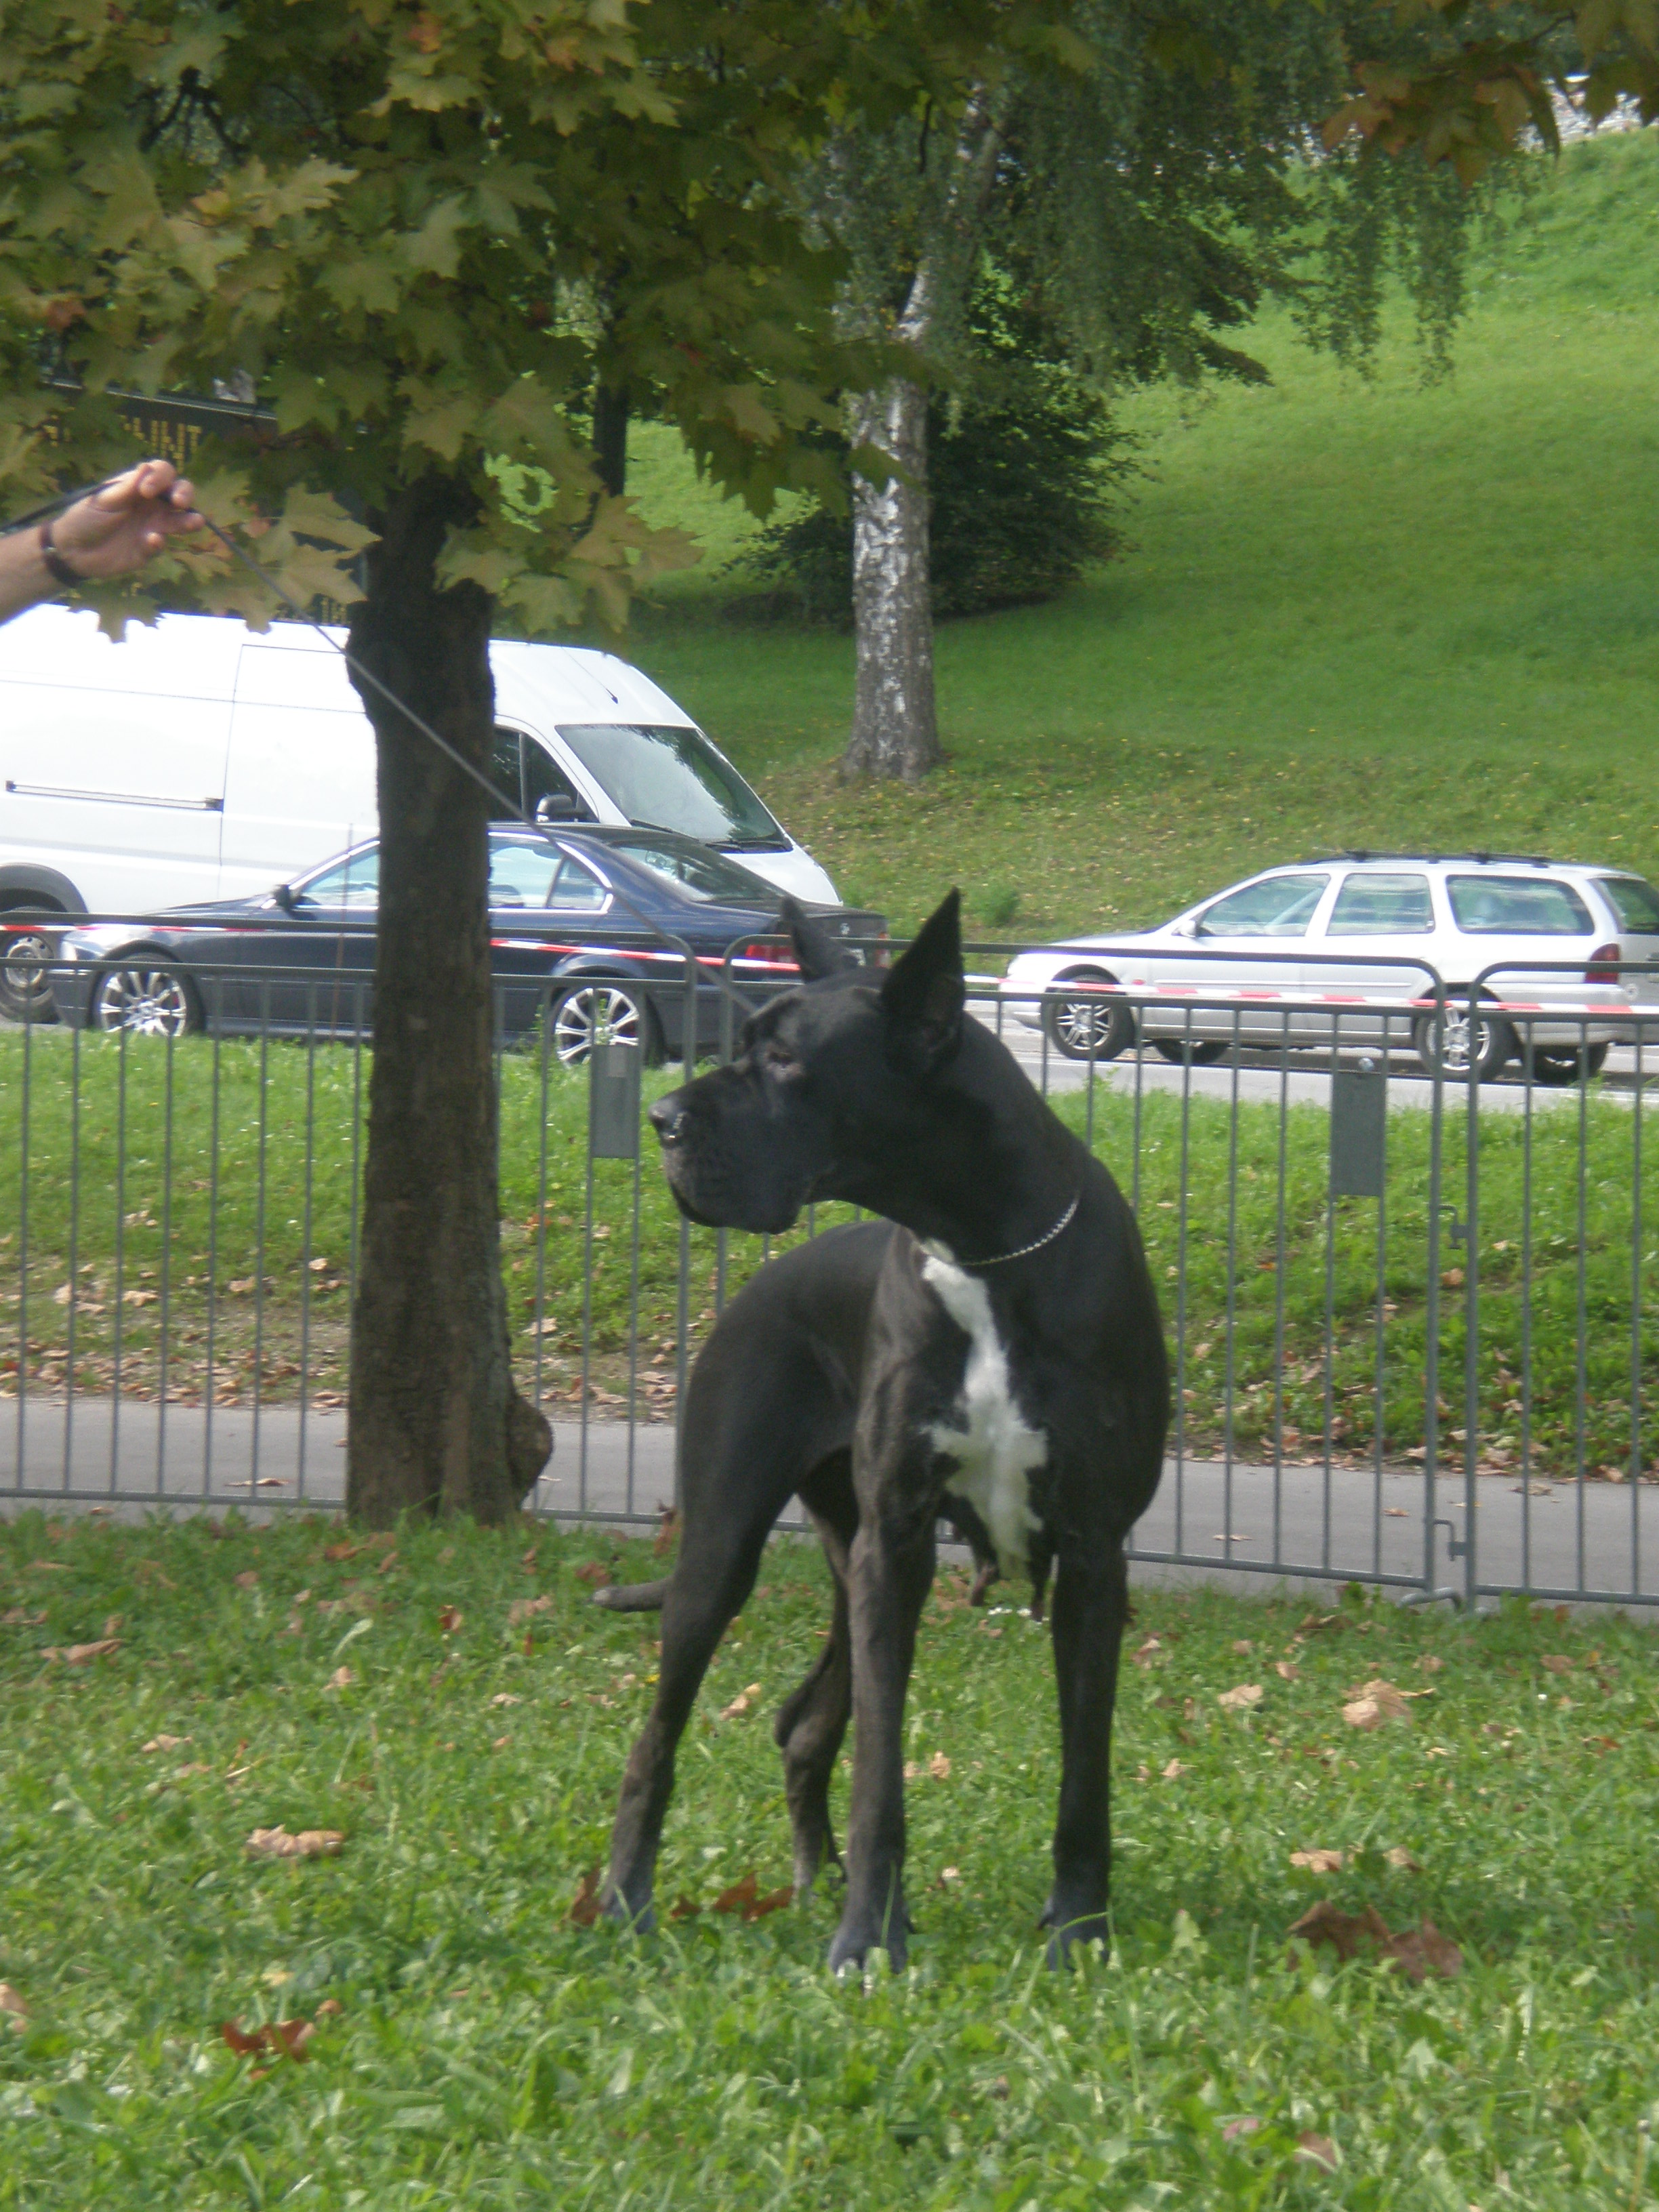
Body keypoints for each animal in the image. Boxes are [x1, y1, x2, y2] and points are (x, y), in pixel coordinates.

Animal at [597, 890, 1168, 1969]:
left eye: (786, 1060)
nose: (659, 1118)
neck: (983, 1246)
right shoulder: (895, 1544)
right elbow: (881, 1773)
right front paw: (870, 1939)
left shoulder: (1093, 1554)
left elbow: (1087, 1771)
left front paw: (1079, 1930)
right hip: (727, 1551)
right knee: (658, 1738)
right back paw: (624, 1901)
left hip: (839, 1548)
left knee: (801, 1724)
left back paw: (807, 1877)